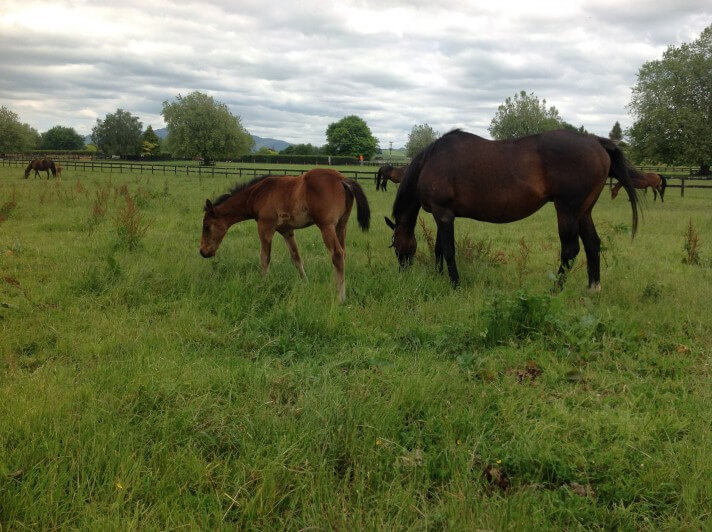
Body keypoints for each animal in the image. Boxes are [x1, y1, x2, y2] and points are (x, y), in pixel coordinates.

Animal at [200, 168, 371, 302]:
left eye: (206, 227)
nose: (203, 252)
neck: (257, 194)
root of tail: (342, 179)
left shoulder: (265, 226)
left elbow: (264, 257)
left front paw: (263, 283)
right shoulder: (286, 231)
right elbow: (296, 258)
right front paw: (305, 284)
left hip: (326, 226)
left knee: (337, 255)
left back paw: (341, 297)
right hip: (341, 226)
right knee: (343, 254)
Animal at [385, 129, 639, 292]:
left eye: (395, 245)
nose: (403, 271)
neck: (430, 163)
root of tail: (596, 142)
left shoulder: (443, 214)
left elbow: (447, 250)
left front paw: (455, 284)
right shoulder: (443, 216)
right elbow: (438, 248)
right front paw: (439, 278)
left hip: (568, 210)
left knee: (570, 250)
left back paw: (555, 290)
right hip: (584, 212)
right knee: (592, 245)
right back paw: (593, 289)